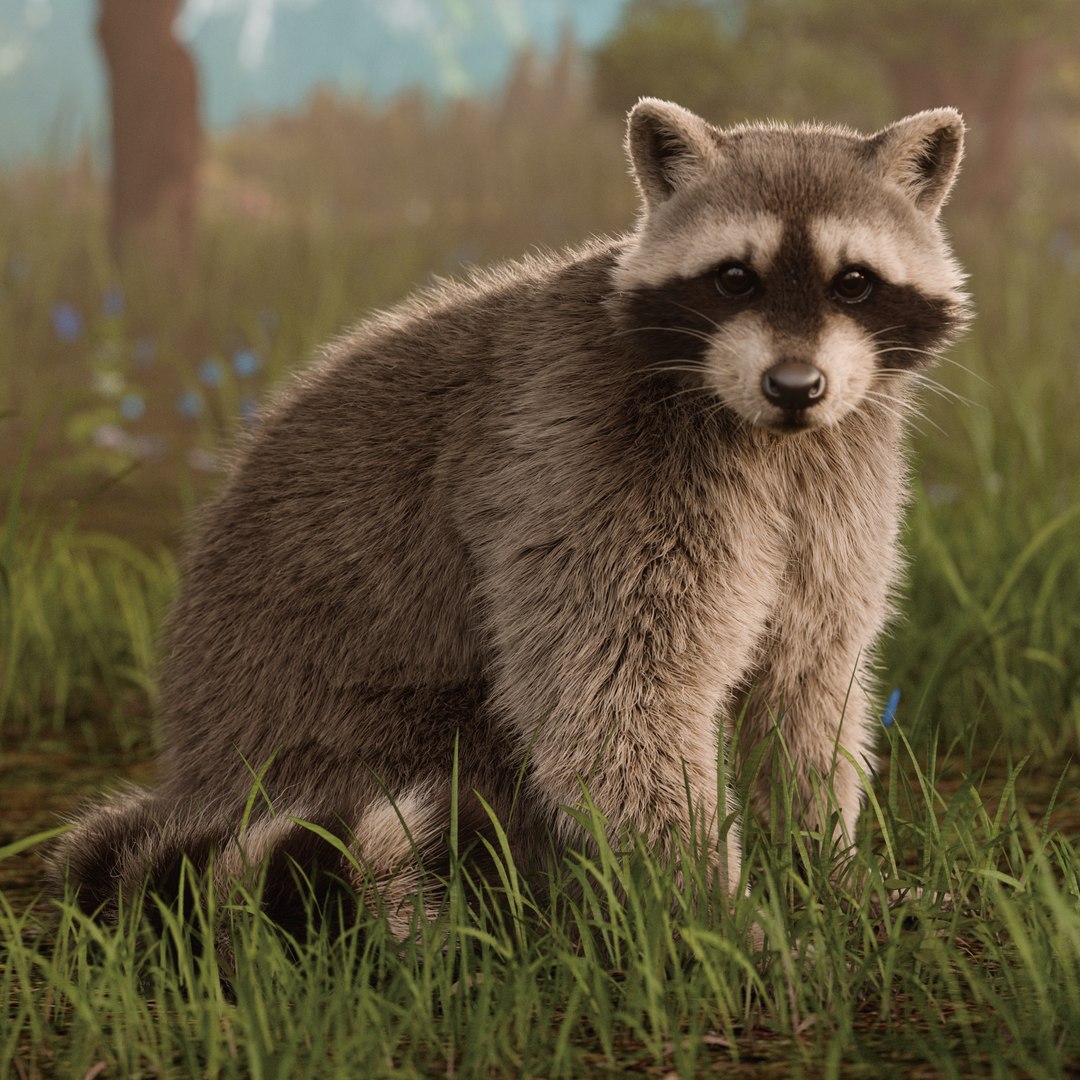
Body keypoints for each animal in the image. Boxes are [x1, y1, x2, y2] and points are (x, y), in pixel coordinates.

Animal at [52, 99, 969, 931]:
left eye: (854, 281)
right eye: (733, 277)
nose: (794, 386)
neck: (765, 430)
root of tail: (201, 777)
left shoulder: (840, 475)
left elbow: (809, 673)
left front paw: (823, 868)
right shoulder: (591, 461)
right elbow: (613, 698)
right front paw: (708, 912)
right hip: (356, 736)